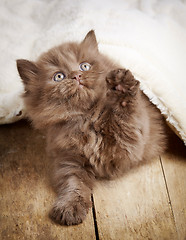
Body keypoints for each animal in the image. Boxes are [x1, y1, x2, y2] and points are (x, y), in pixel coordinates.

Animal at [16, 30, 167, 225]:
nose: (76, 76)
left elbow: (124, 118)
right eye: (59, 76)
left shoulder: (129, 146)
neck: (86, 117)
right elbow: (74, 184)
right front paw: (70, 207)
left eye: (84, 66)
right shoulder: (69, 158)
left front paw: (121, 87)